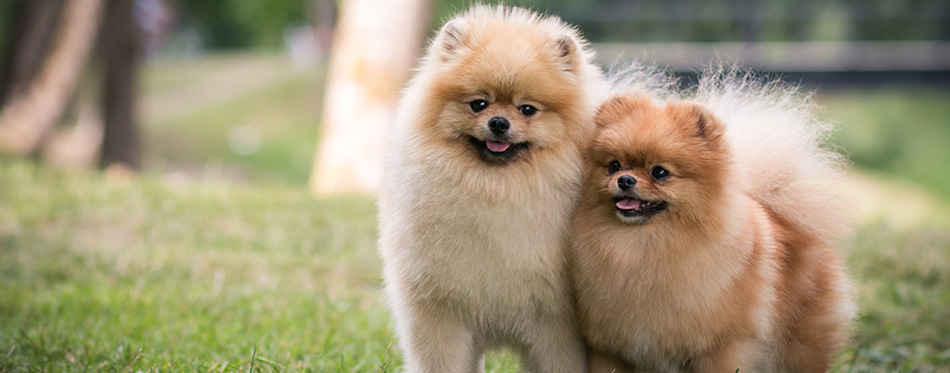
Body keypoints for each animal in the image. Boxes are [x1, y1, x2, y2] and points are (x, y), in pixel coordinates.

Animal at [378, 3, 608, 372]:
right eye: (478, 104)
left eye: (527, 109)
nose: (499, 123)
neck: (495, 188)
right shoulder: (439, 316)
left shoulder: (555, 325)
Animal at [572, 71, 864, 370]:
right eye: (614, 165)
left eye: (659, 172)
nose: (625, 179)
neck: (643, 246)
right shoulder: (609, 348)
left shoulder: (722, 346)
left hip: (799, 344)